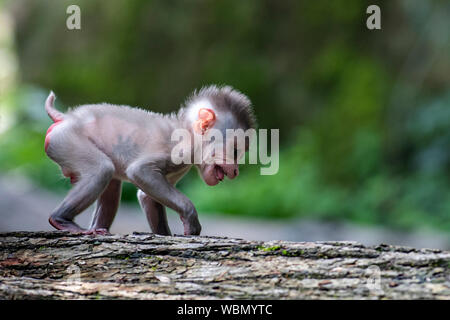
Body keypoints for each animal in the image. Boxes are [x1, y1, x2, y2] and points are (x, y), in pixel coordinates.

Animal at [45, 86, 256, 236]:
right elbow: (139, 172)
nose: (236, 170)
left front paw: (165, 235)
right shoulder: (177, 150)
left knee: (111, 183)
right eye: (235, 151)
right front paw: (190, 218)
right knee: (101, 169)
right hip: (67, 140)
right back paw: (62, 221)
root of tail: (66, 118)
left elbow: (146, 196)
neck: (187, 132)